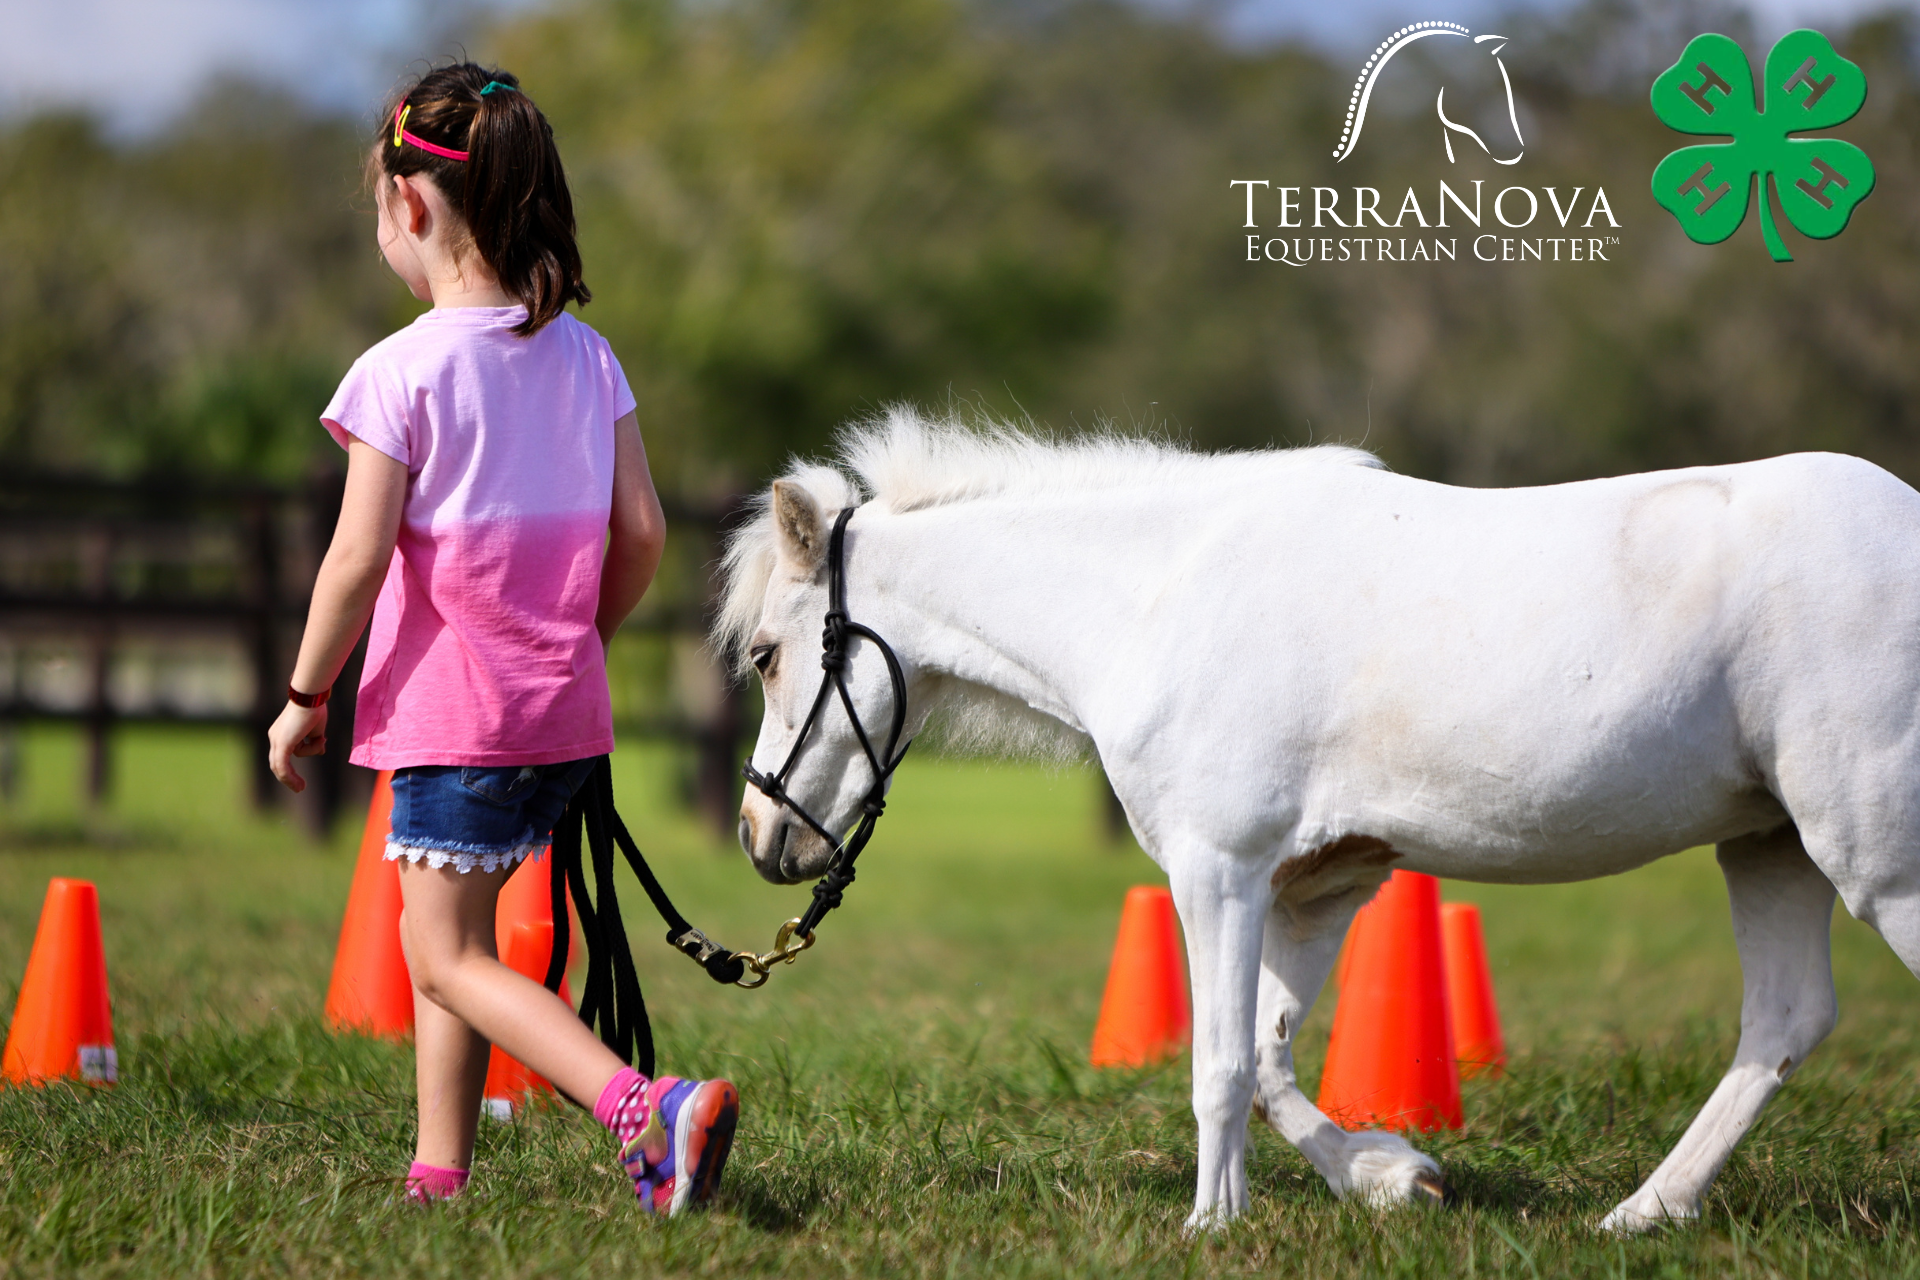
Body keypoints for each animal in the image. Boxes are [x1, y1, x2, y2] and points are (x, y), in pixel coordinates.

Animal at [717, 408, 1920, 1233]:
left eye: (767, 654)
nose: (762, 841)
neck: (1158, 597)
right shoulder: (1321, 883)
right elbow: (1268, 1057)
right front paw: (1392, 1176)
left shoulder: (1219, 870)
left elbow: (1218, 1063)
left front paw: (1212, 1224)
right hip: (1768, 846)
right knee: (1783, 1019)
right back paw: (1642, 1213)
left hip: (1877, 862)